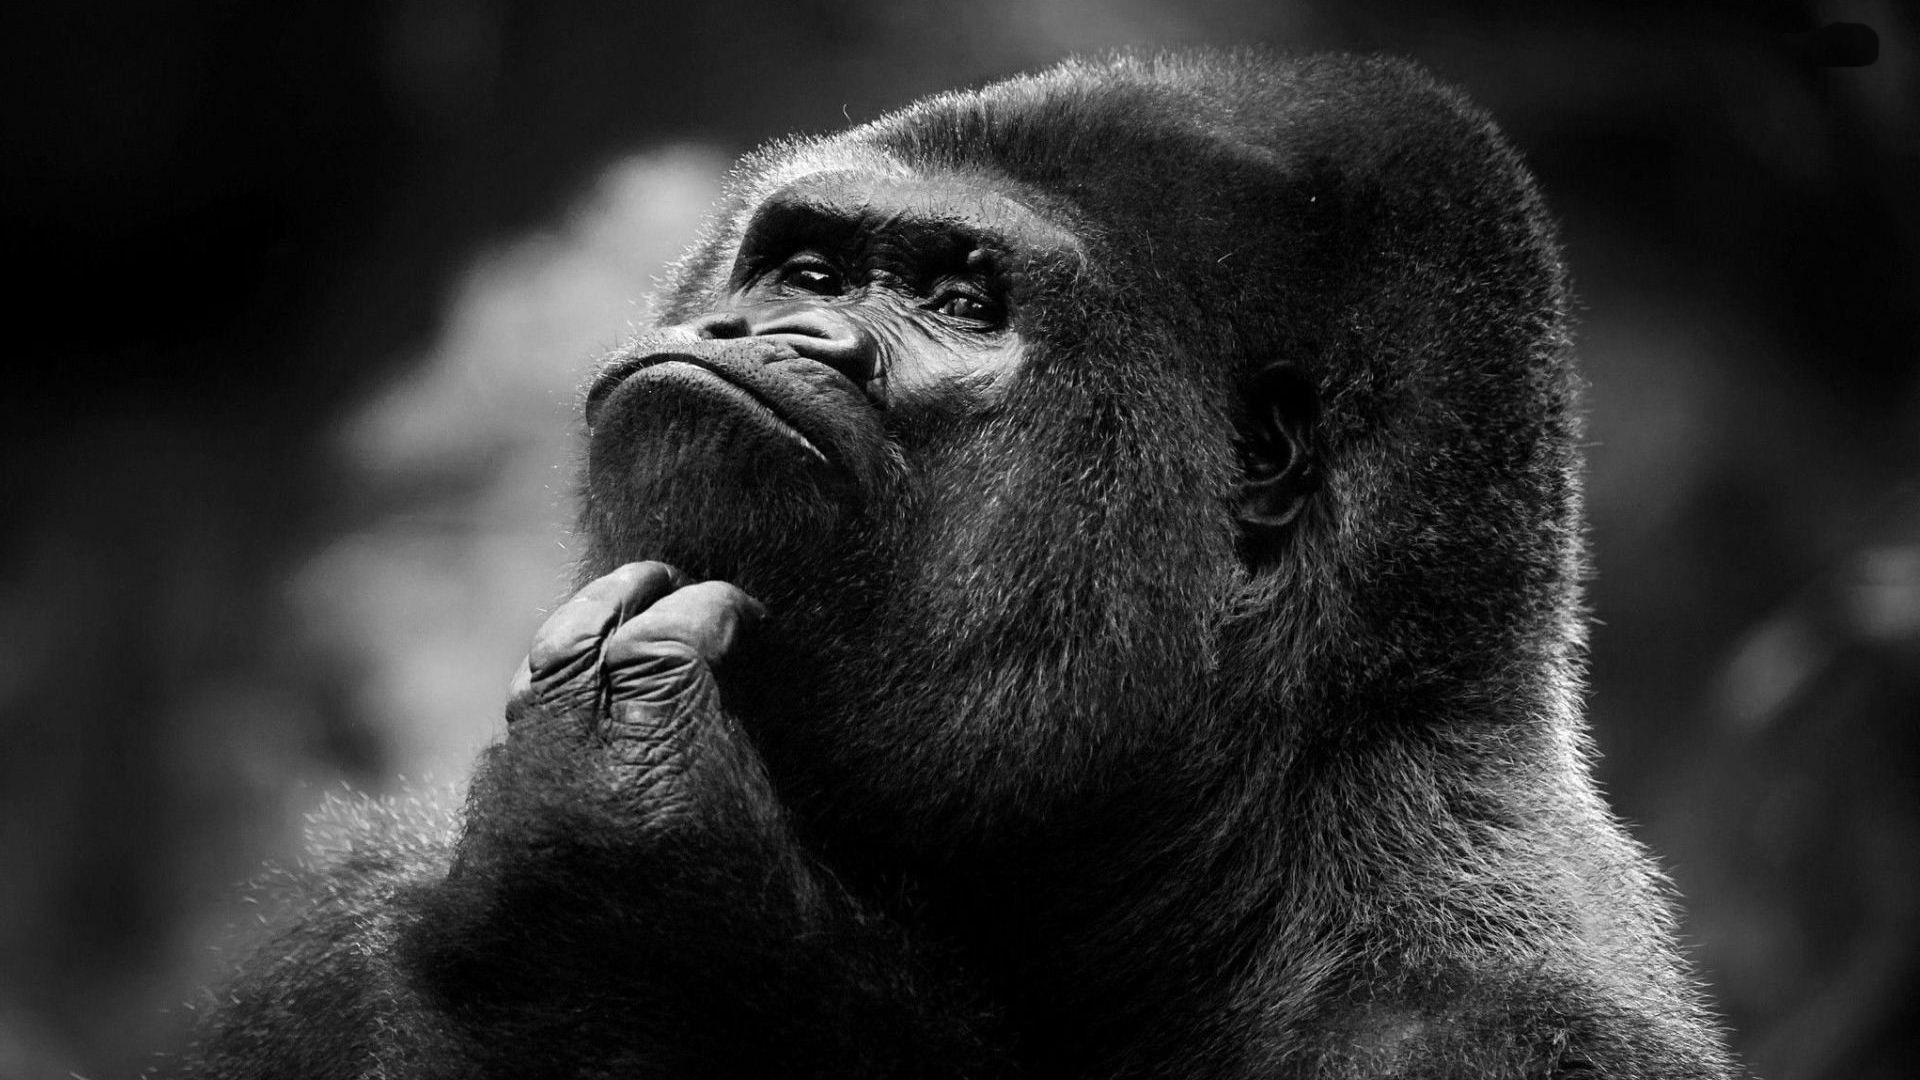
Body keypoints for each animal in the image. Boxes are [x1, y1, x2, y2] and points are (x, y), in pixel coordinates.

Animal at [165, 51, 1742, 1079]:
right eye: (807, 270)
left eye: (961, 300)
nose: (765, 333)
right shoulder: (351, 925)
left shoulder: (1499, 1027)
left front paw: (637, 905)